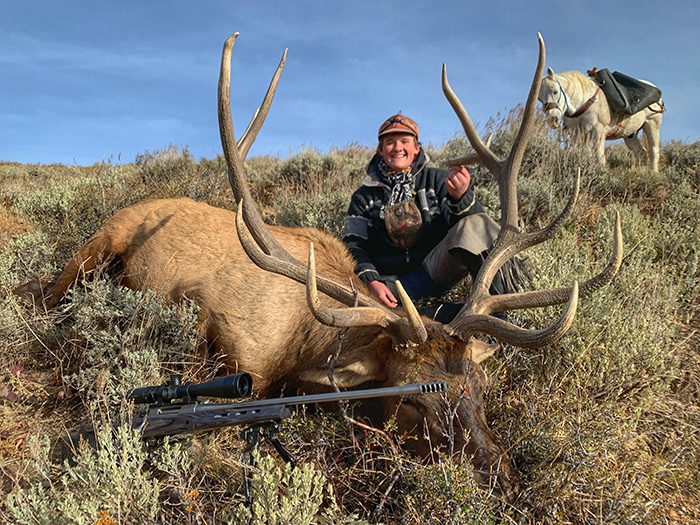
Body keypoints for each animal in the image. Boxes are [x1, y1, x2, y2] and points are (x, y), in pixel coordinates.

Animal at [14, 32, 623, 498]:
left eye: (478, 385)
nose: (503, 476)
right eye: (412, 400)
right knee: (47, 291)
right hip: (97, 244)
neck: (303, 342)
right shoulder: (234, 349)